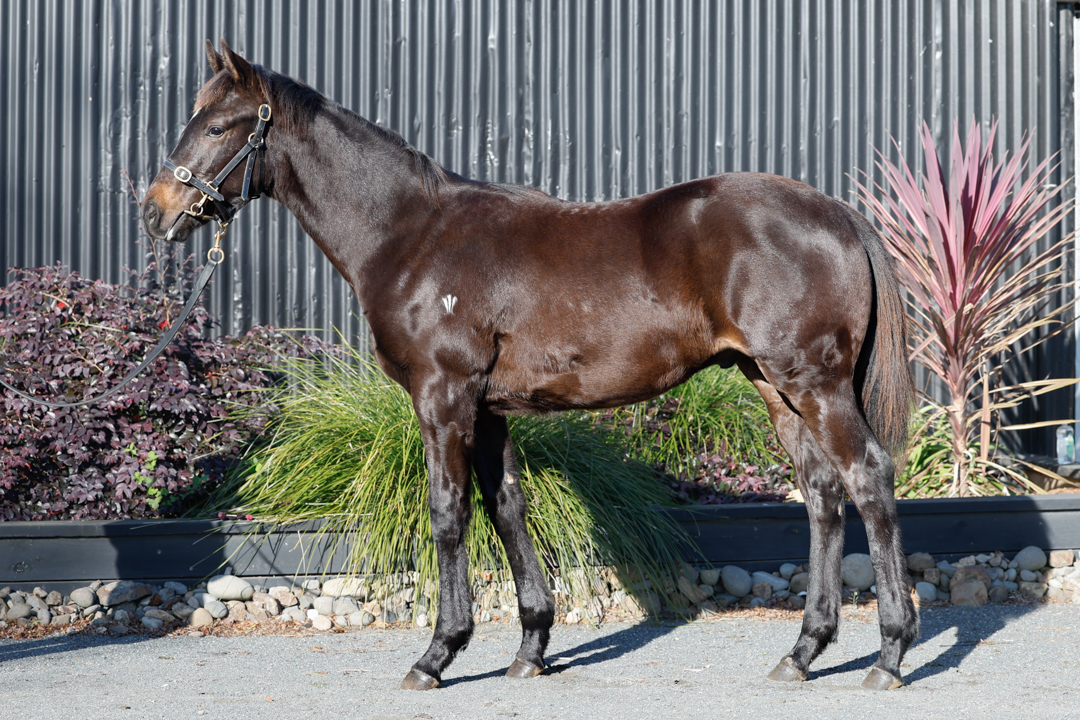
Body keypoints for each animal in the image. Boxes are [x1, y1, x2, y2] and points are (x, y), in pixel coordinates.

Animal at [142, 40, 917, 691]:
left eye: (220, 127)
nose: (156, 212)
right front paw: (530, 648)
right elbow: (508, 506)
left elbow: (449, 512)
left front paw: (437, 654)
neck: (410, 236)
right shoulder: (488, 409)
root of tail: (838, 214)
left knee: (867, 477)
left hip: (814, 384)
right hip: (776, 387)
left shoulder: (443, 397)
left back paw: (889, 654)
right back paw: (803, 651)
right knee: (821, 492)